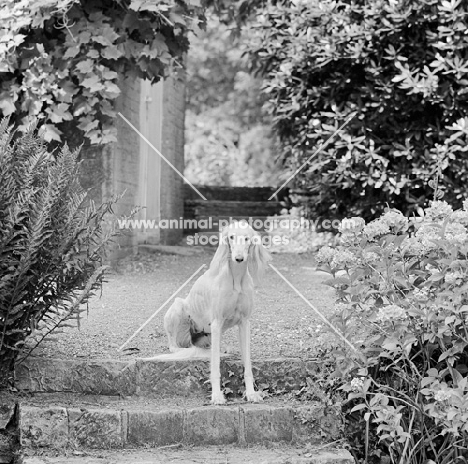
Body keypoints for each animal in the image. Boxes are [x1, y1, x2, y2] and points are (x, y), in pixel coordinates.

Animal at [151, 219, 270, 404]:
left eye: (247, 238)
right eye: (231, 237)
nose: (239, 258)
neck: (236, 278)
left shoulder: (244, 323)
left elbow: (248, 366)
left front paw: (251, 393)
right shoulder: (216, 322)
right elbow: (215, 366)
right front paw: (216, 396)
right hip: (178, 307)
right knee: (173, 345)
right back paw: (179, 349)